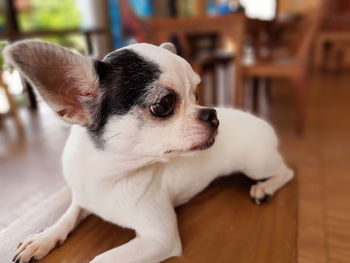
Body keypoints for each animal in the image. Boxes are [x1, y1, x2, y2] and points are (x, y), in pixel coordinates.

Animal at [4, 40, 294, 262]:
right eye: (164, 104)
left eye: (196, 95)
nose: (212, 114)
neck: (109, 173)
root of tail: (260, 121)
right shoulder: (82, 198)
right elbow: (68, 215)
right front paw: (43, 237)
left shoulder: (159, 238)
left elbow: (101, 258)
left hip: (256, 164)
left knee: (287, 172)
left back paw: (265, 188)